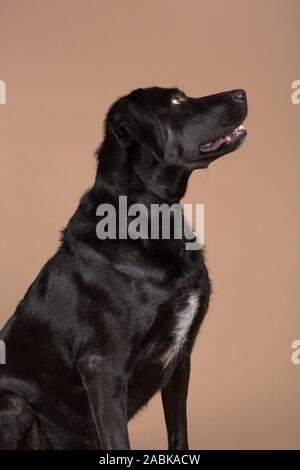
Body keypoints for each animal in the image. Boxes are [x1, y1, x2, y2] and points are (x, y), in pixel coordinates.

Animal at [0, 86, 247, 450]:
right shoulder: (103, 368)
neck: (152, 218)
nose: (241, 92)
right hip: (14, 404)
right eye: (176, 101)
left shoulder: (181, 357)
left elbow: (178, 433)